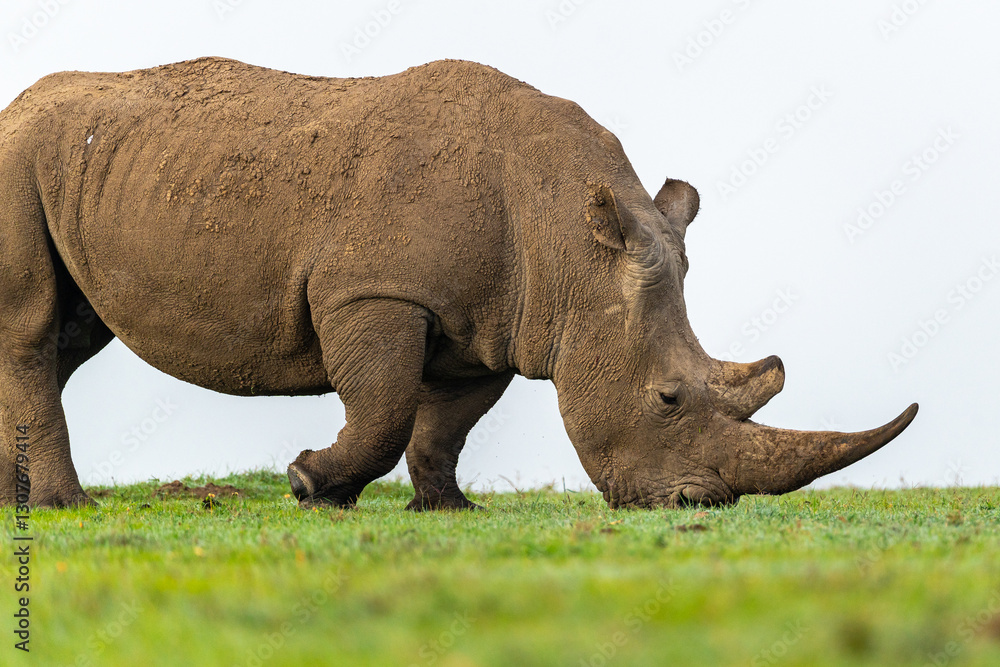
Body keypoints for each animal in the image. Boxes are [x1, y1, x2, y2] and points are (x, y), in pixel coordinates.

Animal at [0, 57, 916, 510]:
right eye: (666, 399)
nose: (702, 504)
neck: (569, 238)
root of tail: (15, 107)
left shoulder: (494, 321)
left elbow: (442, 424)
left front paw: (444, 510)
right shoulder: (374, 292)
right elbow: (383, 409)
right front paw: (311, 485)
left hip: (79, 168)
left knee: (72, 337)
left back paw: (21, 504)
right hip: (18, 158)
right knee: (35, 329)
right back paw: (67, 509)